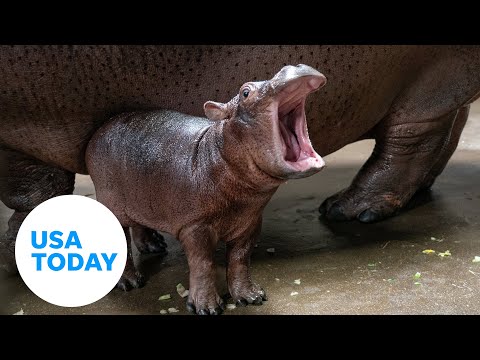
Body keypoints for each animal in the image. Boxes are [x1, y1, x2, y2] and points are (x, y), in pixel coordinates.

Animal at [2, 45, 480, 282]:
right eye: (246, 90)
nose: (292, 61)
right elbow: (42, 188)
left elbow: (34, 190)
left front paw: (14, 252)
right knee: (446, 129)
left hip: (431, 78)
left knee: (413, 138)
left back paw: (347, 209)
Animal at [86, 64, 326, 316]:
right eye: (245, 92)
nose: (293, 66)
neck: (216, 150)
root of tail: (99, 130)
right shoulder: (194, 226)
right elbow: (203, 263)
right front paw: (207, 307)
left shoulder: (250, 222)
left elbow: (240, 259)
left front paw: (252, 297)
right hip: (111, 199)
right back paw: (131, 283)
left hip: (140, 196)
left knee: (138, 222)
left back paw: (154, 247)